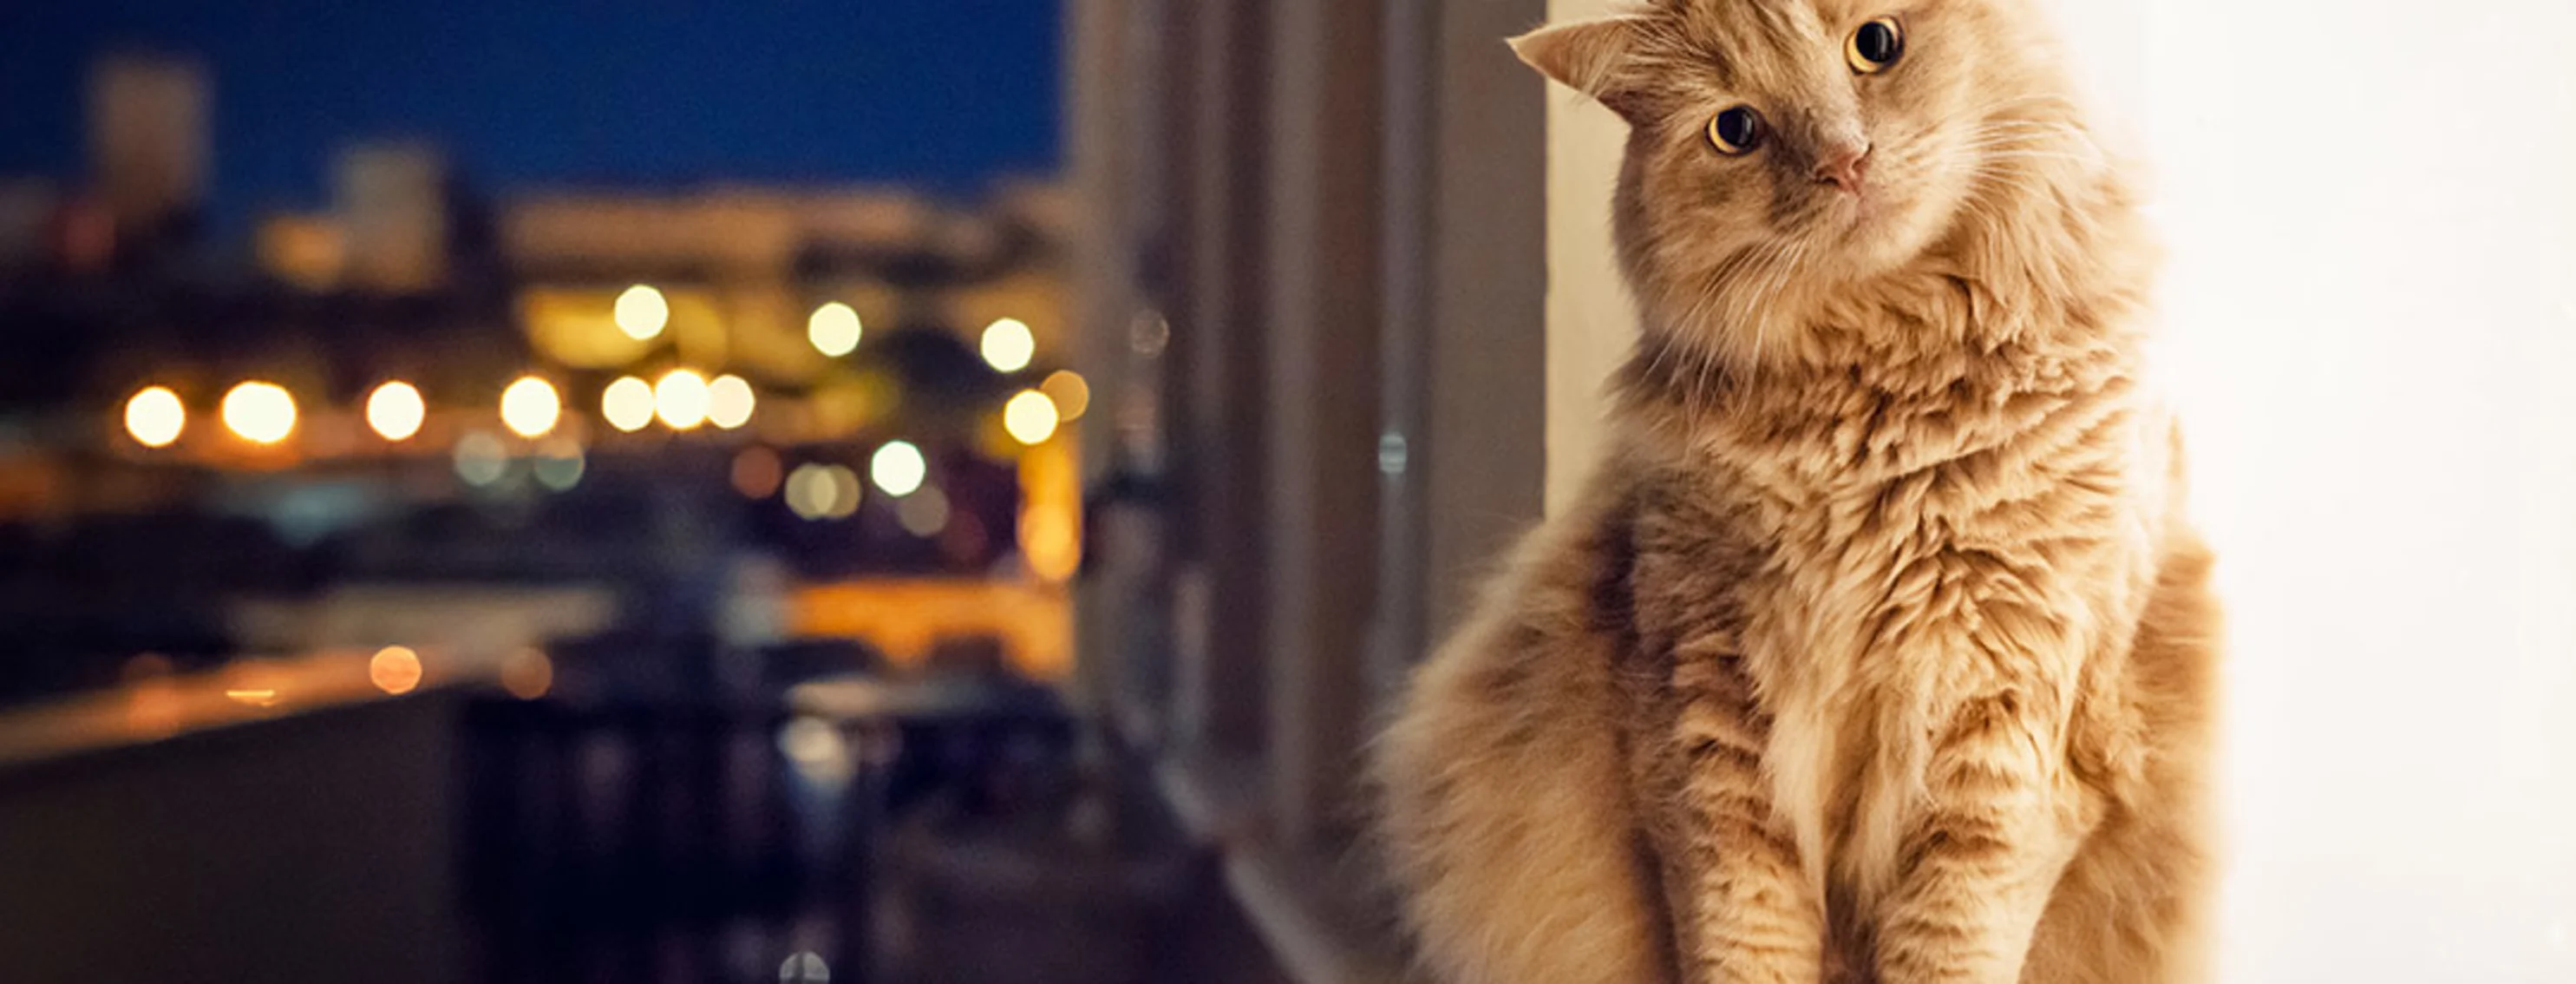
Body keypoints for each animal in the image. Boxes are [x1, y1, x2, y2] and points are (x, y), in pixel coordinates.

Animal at [1380, 2, 2226, 984]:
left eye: (1875, 44)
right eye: (1735, 130)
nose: (1844, 159)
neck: (1890, 406)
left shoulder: (2007, 739)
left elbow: (1950, 943)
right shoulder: (1709, 732)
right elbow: (1743, 941)